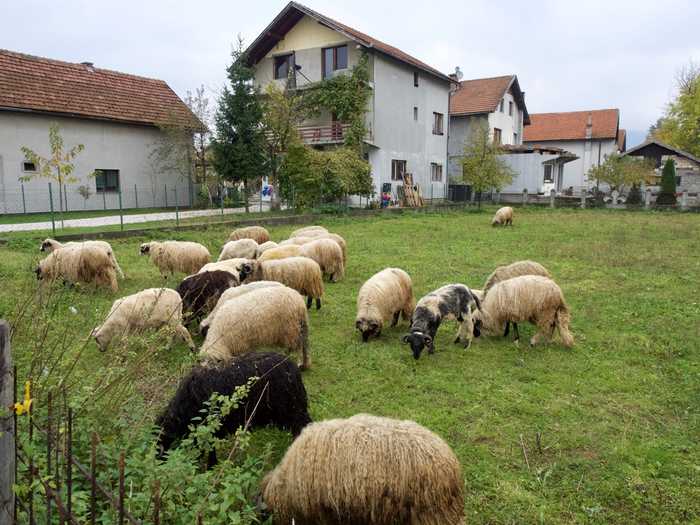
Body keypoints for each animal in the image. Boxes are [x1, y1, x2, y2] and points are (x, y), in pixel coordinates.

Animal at [159, 352, 314, 462]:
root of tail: (292, 367)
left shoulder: (212, 428)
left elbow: (210, 450)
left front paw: (210, 466)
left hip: (293, 408)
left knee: (303, 426)